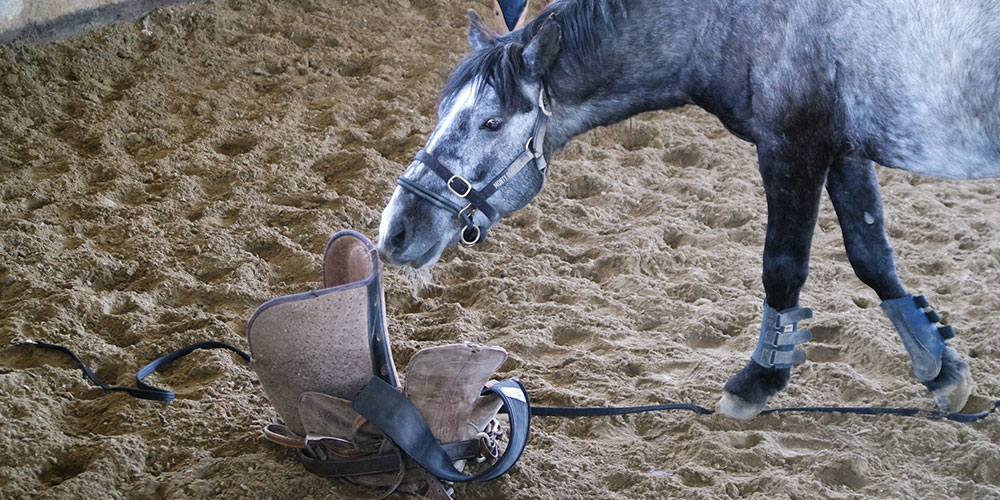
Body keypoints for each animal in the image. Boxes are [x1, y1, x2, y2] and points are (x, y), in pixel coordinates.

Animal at [376, 0, 1000, 418]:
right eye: (442, 110)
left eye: (491, 121)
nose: (397, 232)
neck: (736, 21)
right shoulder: (843, 149)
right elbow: (871, 254)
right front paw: (941, 368)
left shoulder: (793, 149)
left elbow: (783, 267)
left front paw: (757, 381)